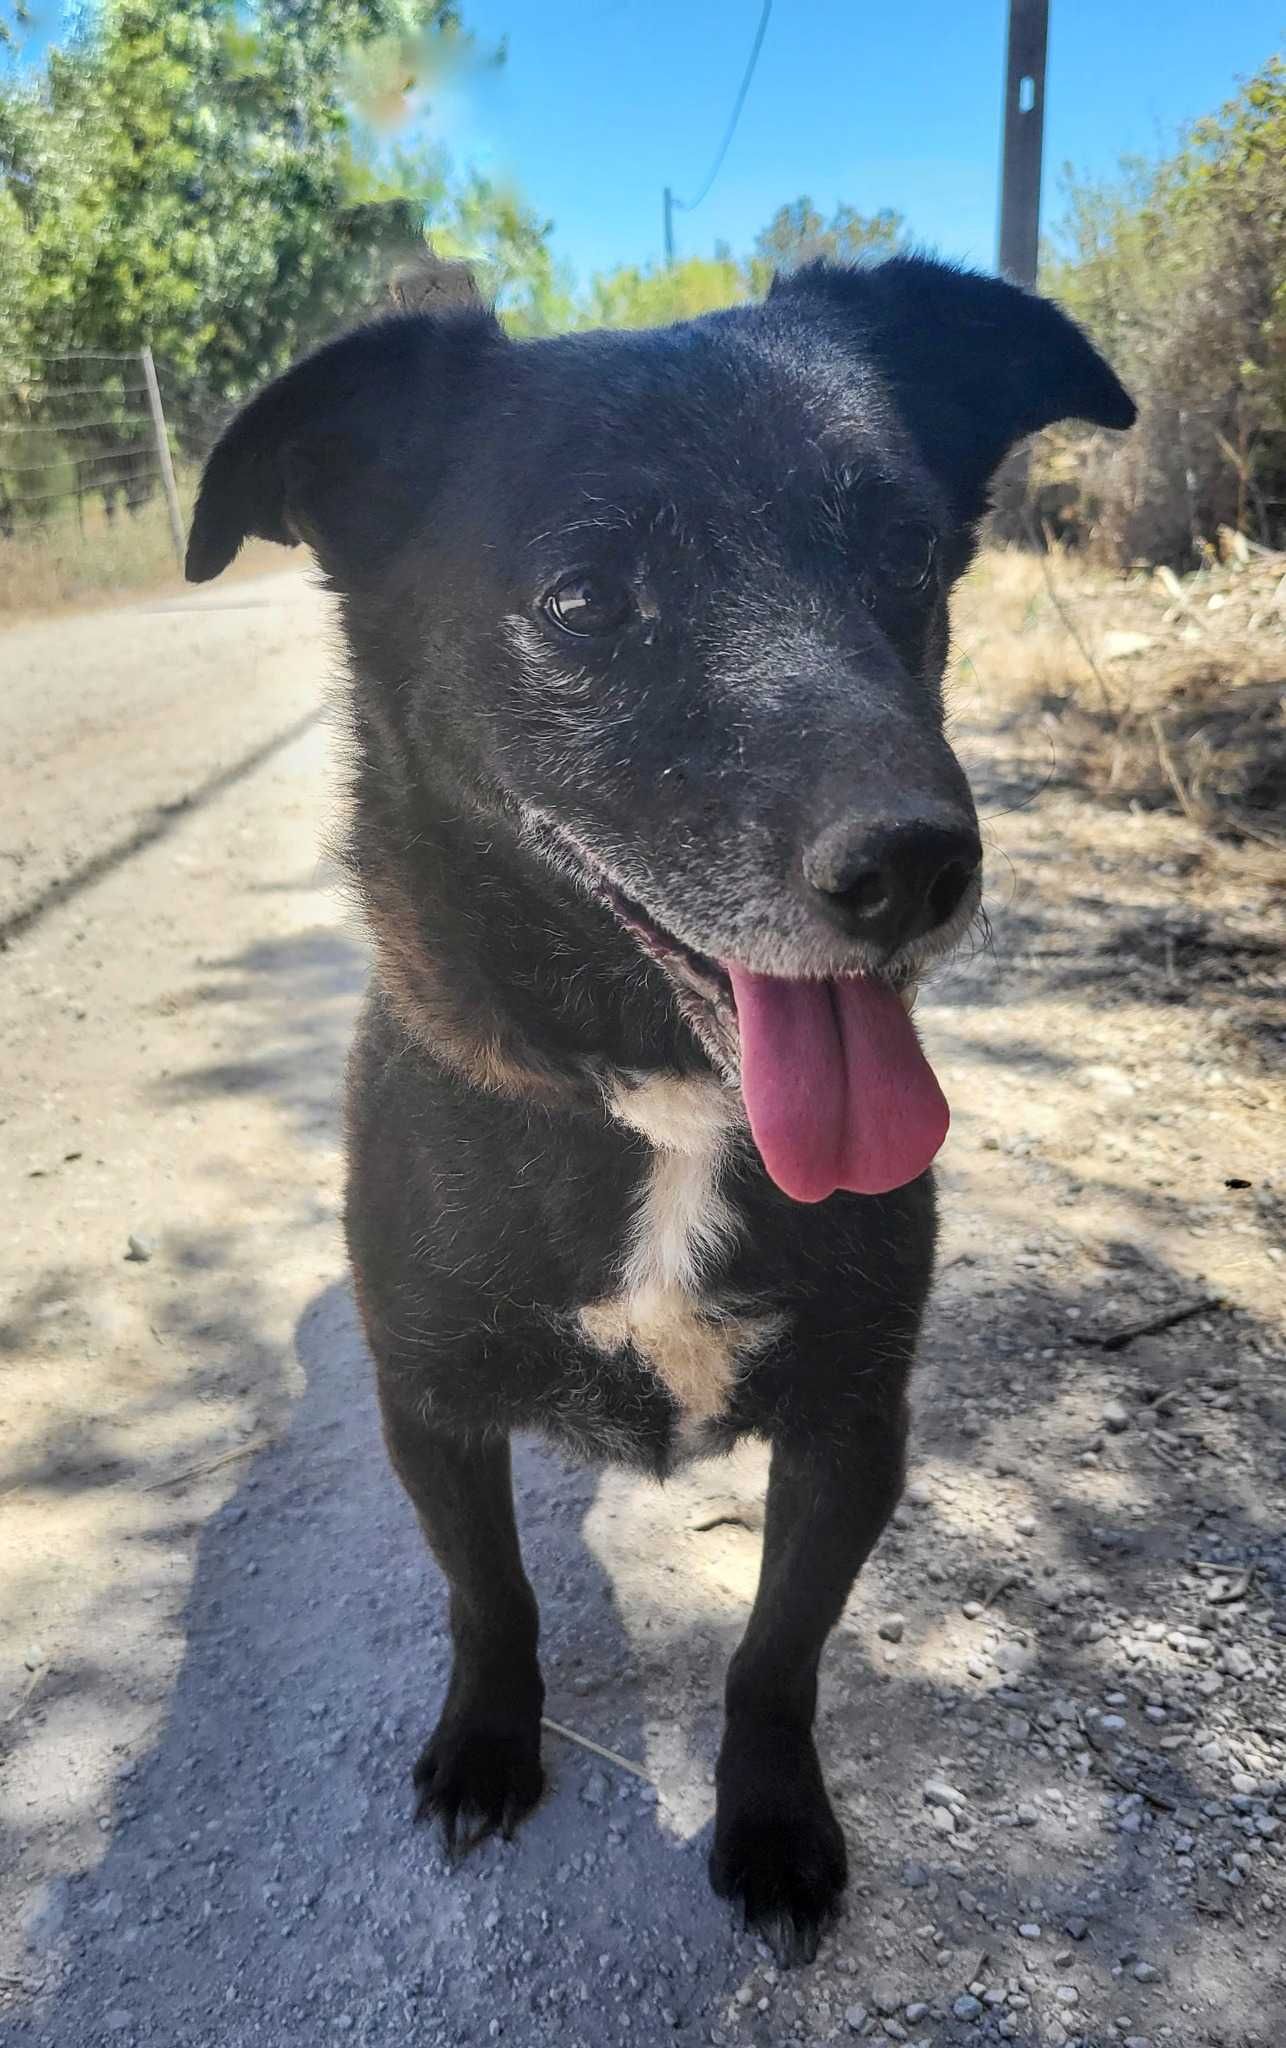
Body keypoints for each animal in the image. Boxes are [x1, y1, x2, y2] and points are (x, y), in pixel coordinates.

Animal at [186, 256, 1130, 1966]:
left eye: (907, 553)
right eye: (581, 600)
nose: (917, 866)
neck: (662, 1108)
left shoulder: (851, 1428)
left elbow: (775, 1654)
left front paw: (771, 1823)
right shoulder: (429, 1408)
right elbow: (489, 1596)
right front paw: (489, 1743)